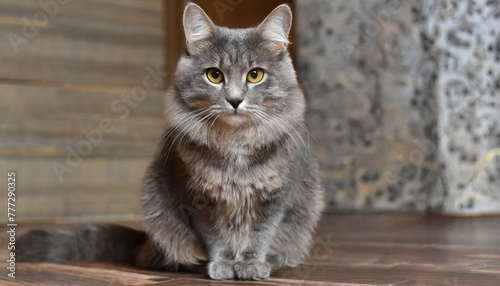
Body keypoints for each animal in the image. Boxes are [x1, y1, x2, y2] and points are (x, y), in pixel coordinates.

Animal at [17, 3, 322, 280]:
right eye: (214, 75)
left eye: (255, 75)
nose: (235, 100)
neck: (235, 142)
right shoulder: (197, 199)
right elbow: (217, 238)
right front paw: (223, 266)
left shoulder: (277, 198)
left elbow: (259, 236)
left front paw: (251, 266)